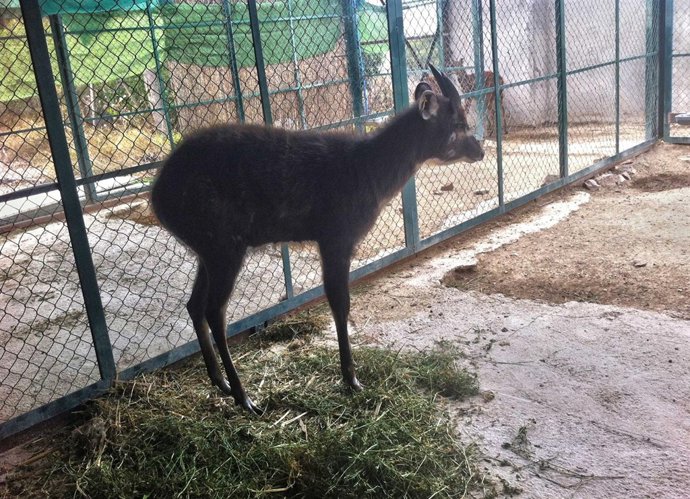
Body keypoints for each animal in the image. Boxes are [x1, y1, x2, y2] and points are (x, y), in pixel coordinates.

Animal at [151, 65, 484, 414]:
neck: (366, 167)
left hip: (207, 252)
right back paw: (244, 397)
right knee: (215, 309)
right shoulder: (336, 238)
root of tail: (158, 195)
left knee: (194, 304)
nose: (480, 150)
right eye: (458, 123)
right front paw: (352, 380)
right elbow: (340, 301)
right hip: (225, 247)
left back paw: (221, 383)